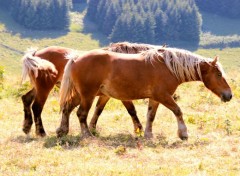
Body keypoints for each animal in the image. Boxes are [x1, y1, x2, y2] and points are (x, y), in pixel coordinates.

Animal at [21, 42, 162, 137]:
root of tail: (36, 54)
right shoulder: (122, 96)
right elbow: (132, 111)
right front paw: (139, 129)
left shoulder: (105, 95)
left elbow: (98, 110)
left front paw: (91, 127)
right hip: (44, 88)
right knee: (37, 107)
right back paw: (41, 132)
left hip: (38, 88)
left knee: (26, 99)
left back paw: (27, 127)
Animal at [58, 47, 232, 140]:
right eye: (218, 74)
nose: (229, 95)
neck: (168, 67)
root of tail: (76, 58)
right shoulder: (163, 96)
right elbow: (178, 111)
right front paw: (183, 134)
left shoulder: (155, 98)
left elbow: (150, 116)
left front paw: (148, 134)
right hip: (87, 95)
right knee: (81, 113)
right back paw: (87, 135)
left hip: (80, 95)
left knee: (67, 109)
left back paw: (62, 131)